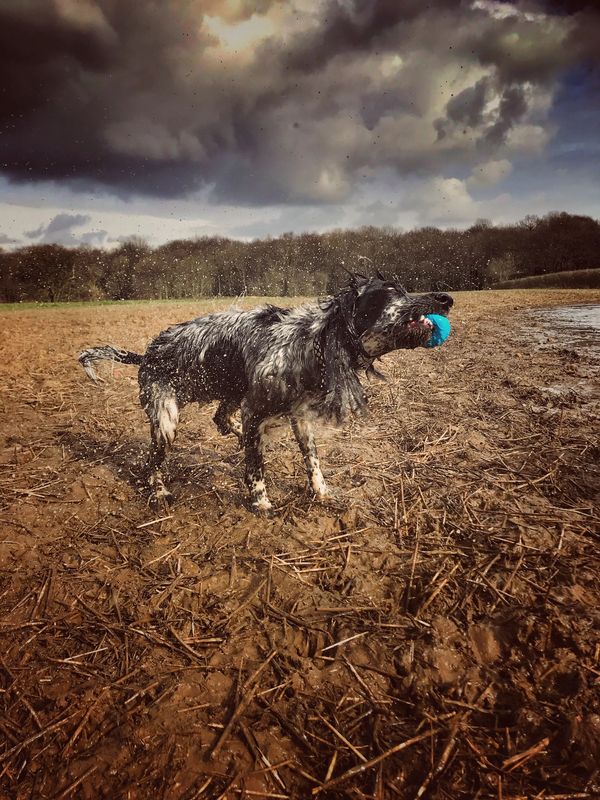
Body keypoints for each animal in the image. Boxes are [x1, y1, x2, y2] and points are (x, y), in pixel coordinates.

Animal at [81, 276, 454, 512]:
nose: (446, 298)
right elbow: (256, 469)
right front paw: (260, 500)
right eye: (392, 292)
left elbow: (312, 463)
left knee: (222, 420)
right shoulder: (257, 409)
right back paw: (159, 492)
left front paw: (322, 493)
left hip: (232, 392)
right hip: (166, 420)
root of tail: (147, 353)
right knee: (154, 462)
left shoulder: (299, 418)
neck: (313, 343)